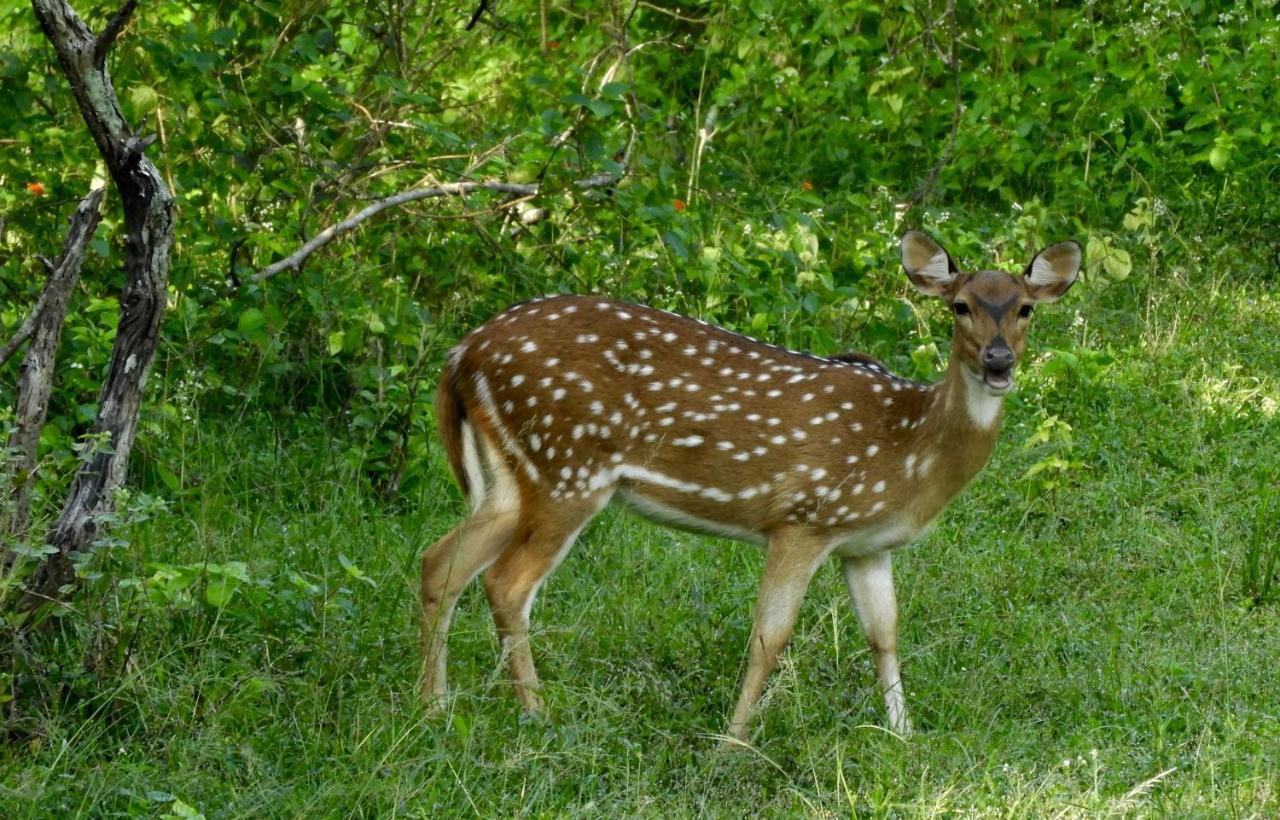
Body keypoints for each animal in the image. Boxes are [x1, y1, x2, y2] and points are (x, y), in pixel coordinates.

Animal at [419, 231, 1080, 741]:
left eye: (1026, 308)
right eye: (961, 306)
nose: (998, 360)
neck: (910, 450)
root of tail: (461, 354)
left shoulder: (865, 544)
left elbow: (884, 634)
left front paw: (904, 736)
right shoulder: (802, 518)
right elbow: (770, 637)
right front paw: (732, 742)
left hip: (509, 479)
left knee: (439, 562)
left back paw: (435, 707)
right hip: (567, 467)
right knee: (506, 583)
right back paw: (537, 713)